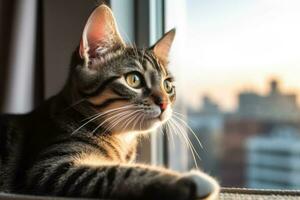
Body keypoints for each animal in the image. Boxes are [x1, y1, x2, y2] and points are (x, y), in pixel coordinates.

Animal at [0, 4, 220, 200]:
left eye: (168, 86)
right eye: (134, 80)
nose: (164, 103)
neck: (121, 138)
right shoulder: (51, 167)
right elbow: (119, 172)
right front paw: (190, 180)